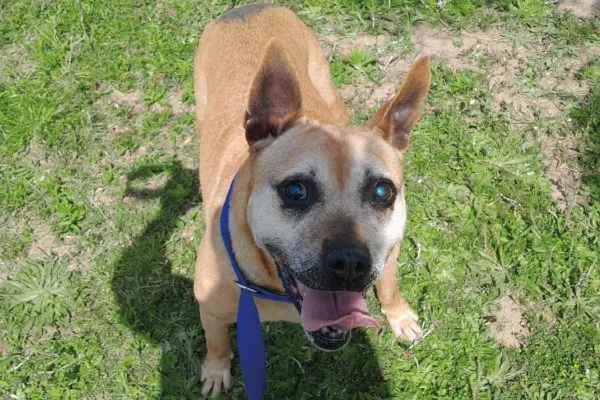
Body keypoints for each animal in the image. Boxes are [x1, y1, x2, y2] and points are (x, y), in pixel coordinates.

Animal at [193, 4, 430, 397]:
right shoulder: (210, 312)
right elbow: (216, 344)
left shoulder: (390, 252)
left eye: (383, 192)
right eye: (295, 191)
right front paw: (215, 370)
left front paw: (398, 314)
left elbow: (389, 283)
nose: (350, 263)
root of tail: (246, 8)